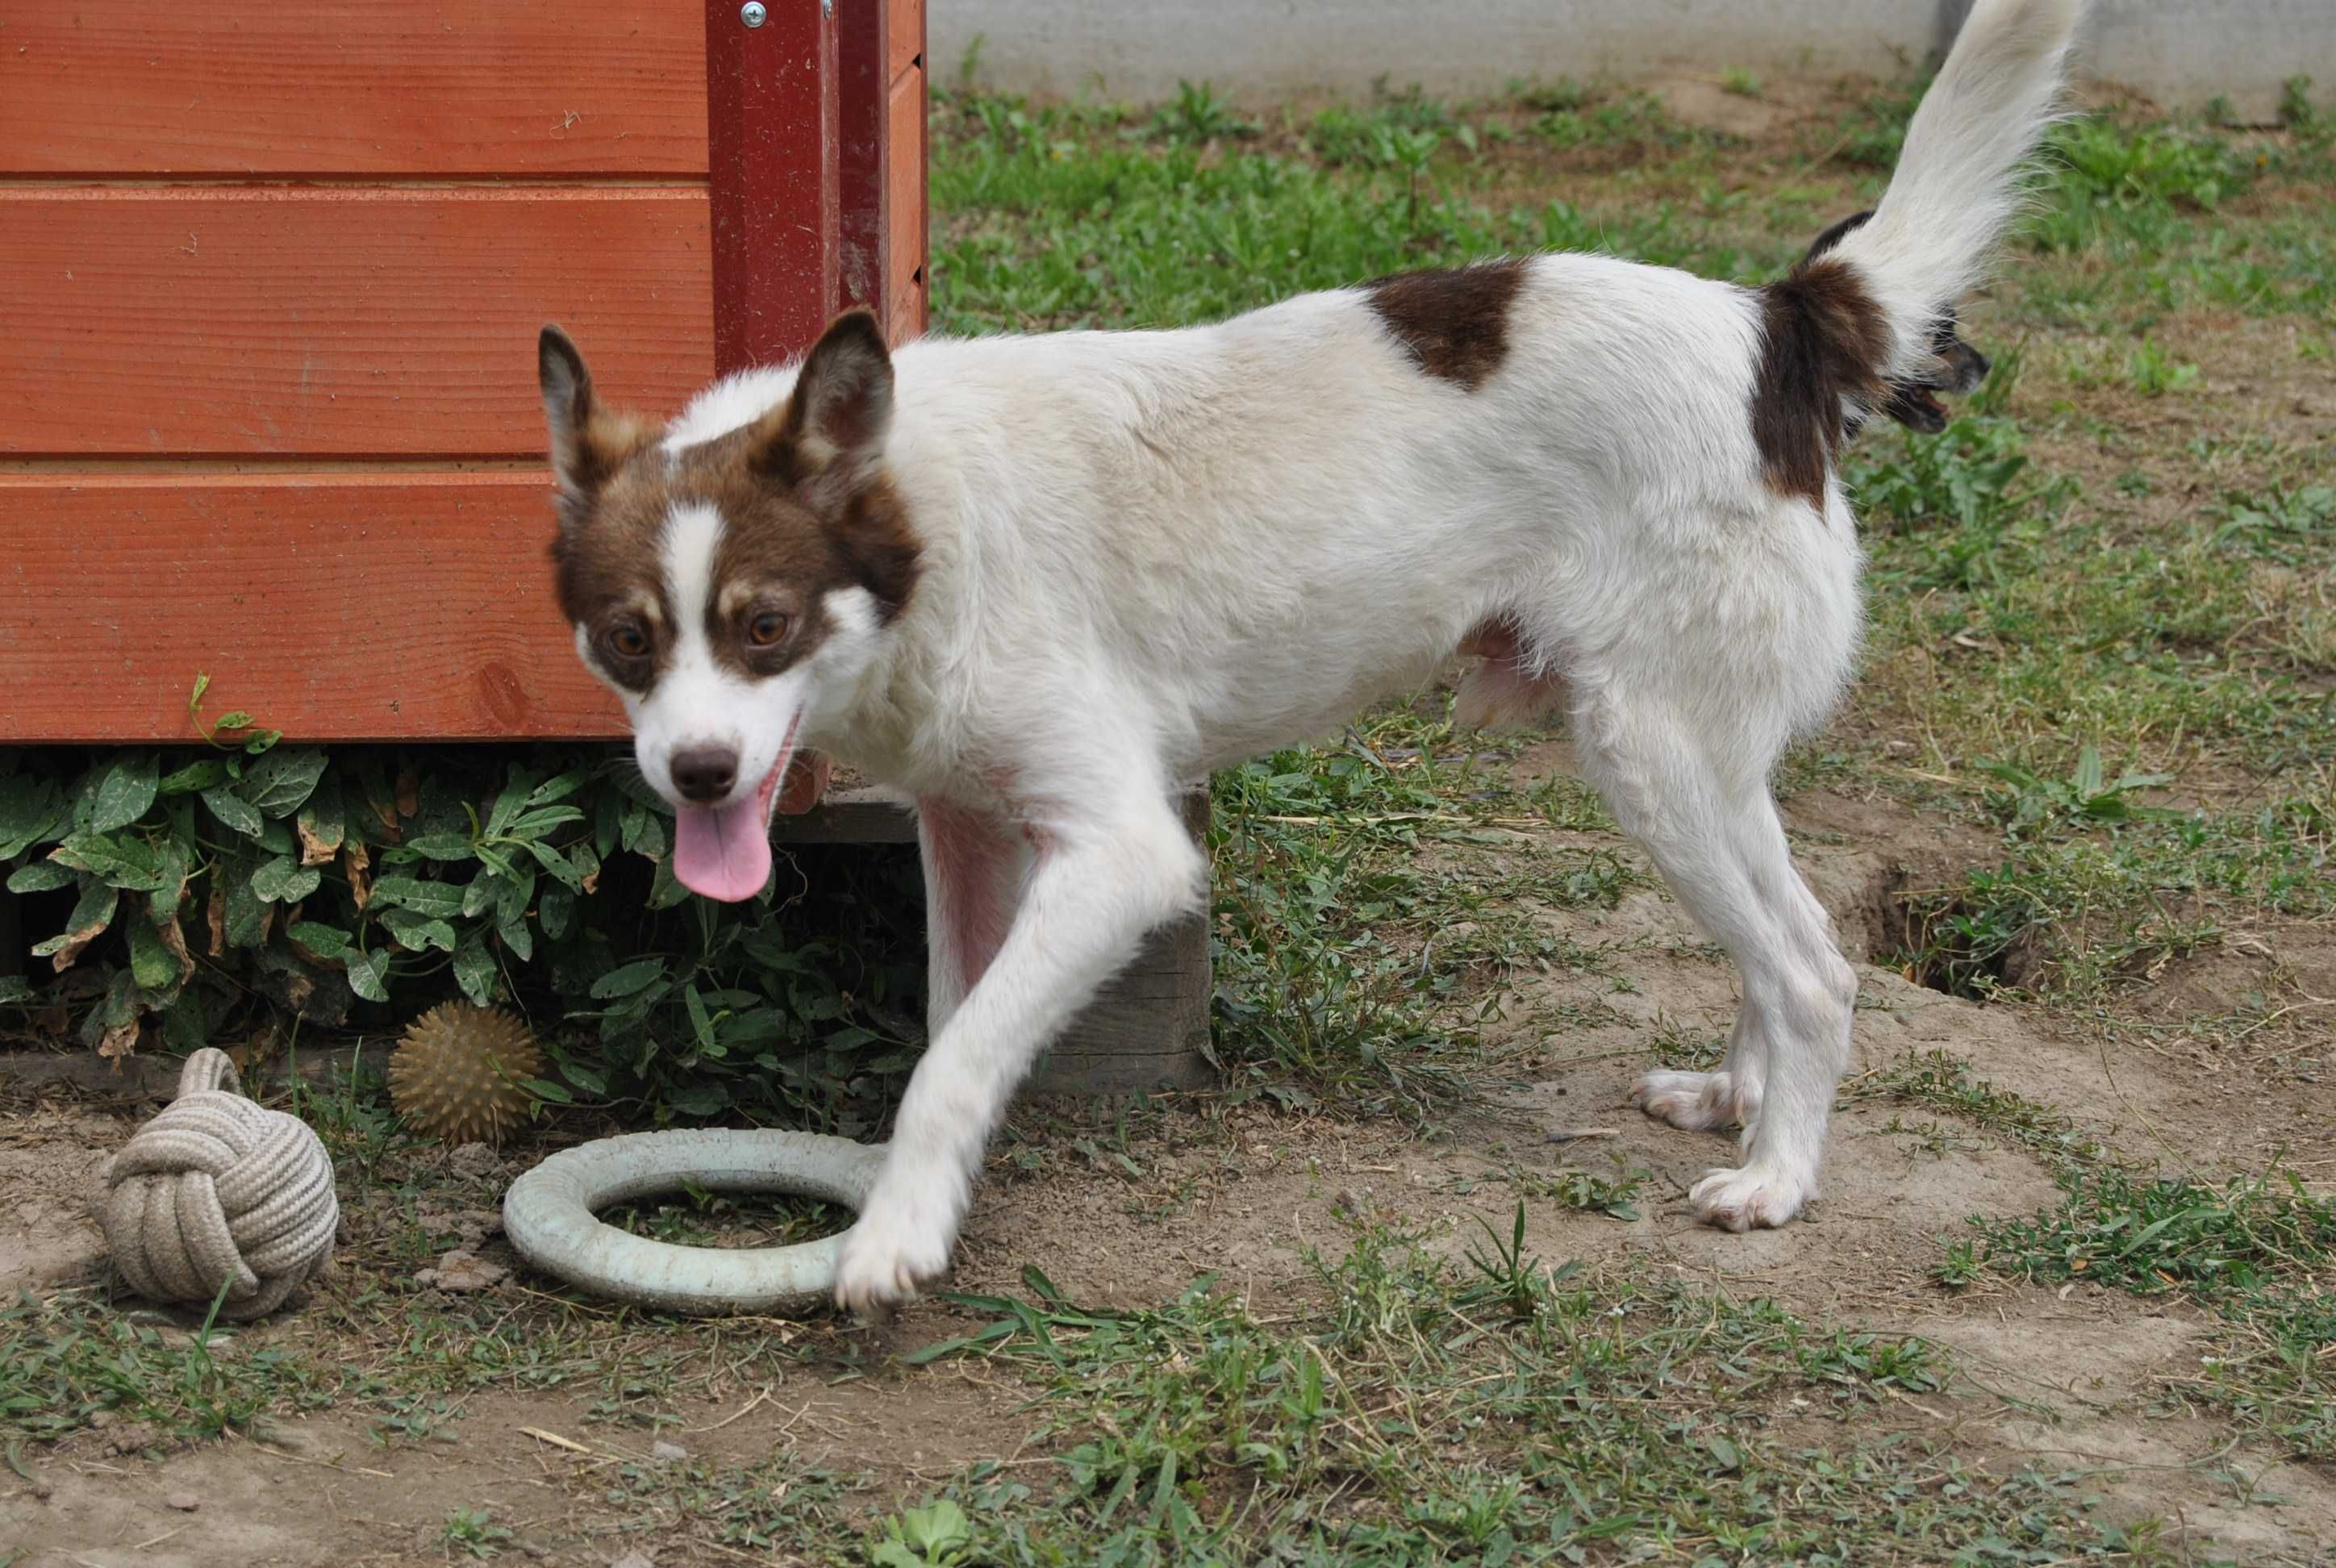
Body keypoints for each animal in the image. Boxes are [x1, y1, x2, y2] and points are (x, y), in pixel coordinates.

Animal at [541, 0, 2084, 1308]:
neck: (923, 520)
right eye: (628, 639)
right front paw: (919, 1198)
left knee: (1817, 969)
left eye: (765, 625)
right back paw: (1737, 1095)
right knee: (1785, 940)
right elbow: (950, 1030)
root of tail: (1778, 324)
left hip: (1648, 756)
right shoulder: (969, 829)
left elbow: (955, 1061)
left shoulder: (1122, 854)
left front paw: (895, 1236)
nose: (696, 775)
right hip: (1690, 759)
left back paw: (1777, 1176)